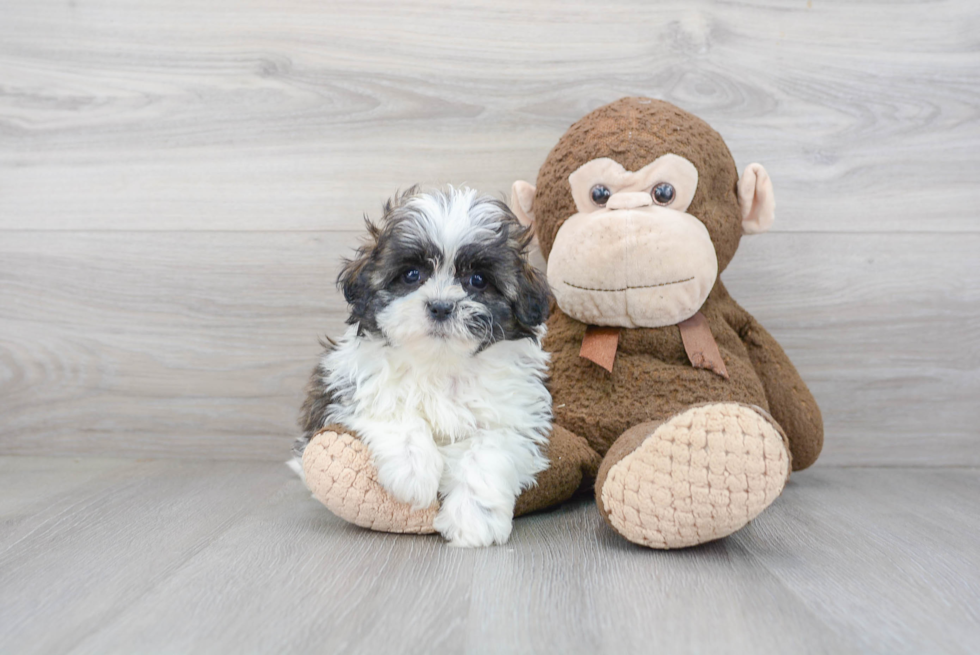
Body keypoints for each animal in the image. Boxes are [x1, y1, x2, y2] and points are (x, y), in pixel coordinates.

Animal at [290, 186, 552, 548]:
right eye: (412, 275)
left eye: (478, 280)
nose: (441, 306)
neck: (439, 363)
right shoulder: (344, 386)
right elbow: (394, 409)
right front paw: (414, 472)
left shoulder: (512, 417)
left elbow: (487, 452)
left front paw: (473, 520)